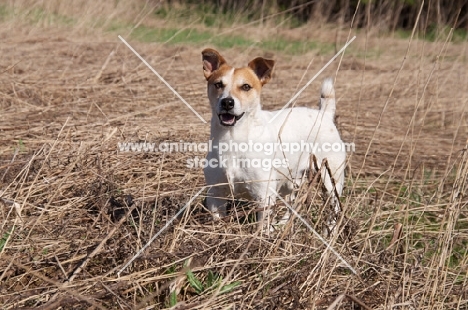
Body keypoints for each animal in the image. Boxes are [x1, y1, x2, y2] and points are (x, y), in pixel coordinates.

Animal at [202, 48, 348, 231]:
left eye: (246, 86)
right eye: (218, 84)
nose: (227, 102)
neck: (233, 138)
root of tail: (324, 115)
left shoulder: (264, 196)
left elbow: (261, 227)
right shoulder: (215, 196)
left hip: (330, 179)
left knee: (334, 207)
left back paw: (330, 230)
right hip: (290, 181)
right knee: (292, 204)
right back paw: (282, 224)